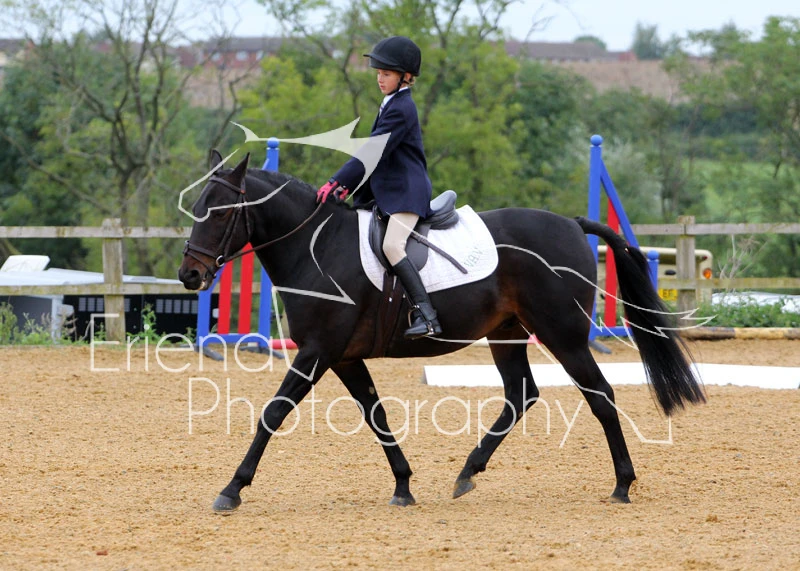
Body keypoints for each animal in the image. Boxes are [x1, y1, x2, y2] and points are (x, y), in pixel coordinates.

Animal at [178, 151, 705, 513]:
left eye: (219, 212)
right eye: (197, 207)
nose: (189, 276)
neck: (318, 246)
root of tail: (572, 224)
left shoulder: (317, 352)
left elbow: (273, 412)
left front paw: (232, 489)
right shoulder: (343, 356)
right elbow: (375, 414)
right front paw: (403, 486)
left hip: (563, 335)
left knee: (599, 395)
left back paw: (622, 484)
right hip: (507, 333)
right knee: (521, 393)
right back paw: (468, 471)